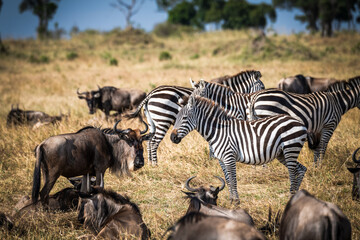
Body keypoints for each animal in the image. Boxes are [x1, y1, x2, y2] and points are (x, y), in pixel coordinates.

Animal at [125, 69, 262, 165]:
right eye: (262, 86)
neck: (229, 99)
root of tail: (151, 93)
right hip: (163, 119)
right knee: (154, 142)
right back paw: (156, 165)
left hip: (152, 121)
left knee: (149, 141)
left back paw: (150, 164)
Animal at [170, 94, 308, 202]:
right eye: (176, 118)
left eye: (184, 118)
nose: (172, 137)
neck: (218, 132)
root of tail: (299, 123)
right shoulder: (222, 160)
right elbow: (227, 179)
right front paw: (231, 200)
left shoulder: (229, 156)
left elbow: (233, 178)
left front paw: (236, 201)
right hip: (282, 153)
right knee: (301, 169)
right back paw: (295, 196)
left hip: (290, 148)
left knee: (293, 172)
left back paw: (291, 196)